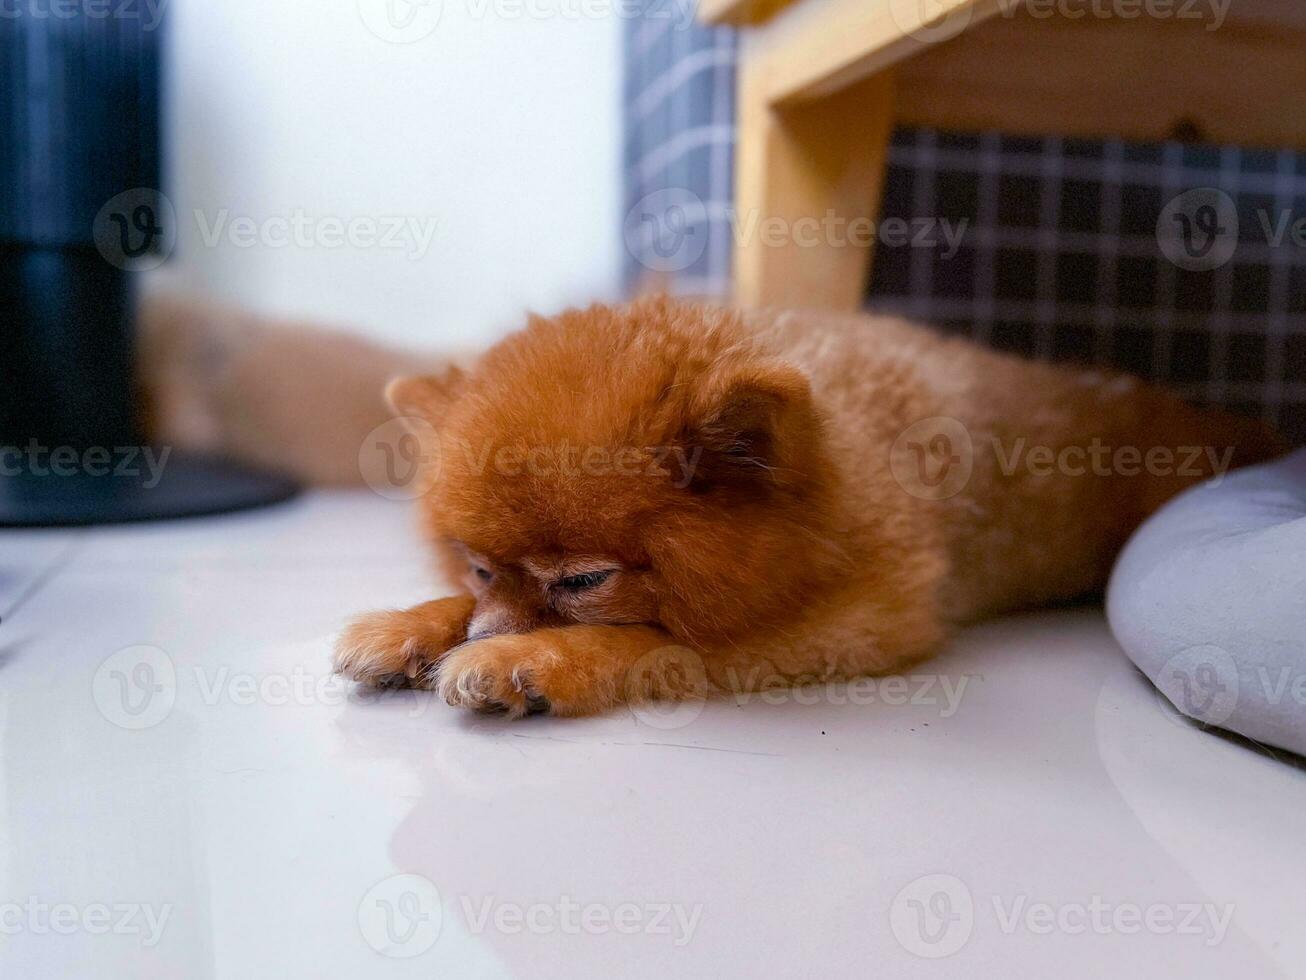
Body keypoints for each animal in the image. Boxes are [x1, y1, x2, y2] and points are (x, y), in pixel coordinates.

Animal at [331, 295, 1279, 716]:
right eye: (478, 569)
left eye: (583, 583)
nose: (488, 627)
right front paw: (416, 625)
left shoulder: (858, 622)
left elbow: (656, 643)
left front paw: (527, 660)